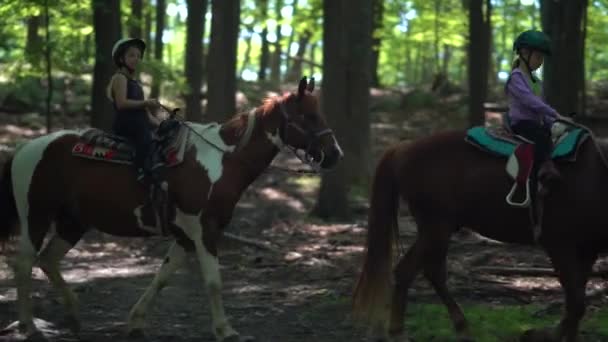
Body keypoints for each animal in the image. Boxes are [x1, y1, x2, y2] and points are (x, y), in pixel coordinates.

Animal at [0, 77, 342, 342]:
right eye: (310, 116)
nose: (335, 154)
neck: (223, 160)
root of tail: (26, 148)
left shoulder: (186, 235)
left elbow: (162, 276)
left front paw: (136, 322)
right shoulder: (204, 230)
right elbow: (213, 282)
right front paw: (225, 330)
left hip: (73, 222)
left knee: (48, 259)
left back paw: (73, 316)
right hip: (36, 216)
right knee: (24, 264)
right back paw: (30, 326)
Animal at [354, 129, 608, 342]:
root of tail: (402, 149)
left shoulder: (588, 250)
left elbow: (576, 302)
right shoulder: (560, 246)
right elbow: (576, 303)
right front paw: (540, 334)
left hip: (437, 228)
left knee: (430, 272)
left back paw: (460, 326)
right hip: (436, 226)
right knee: (410, 270)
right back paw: (399, 331)